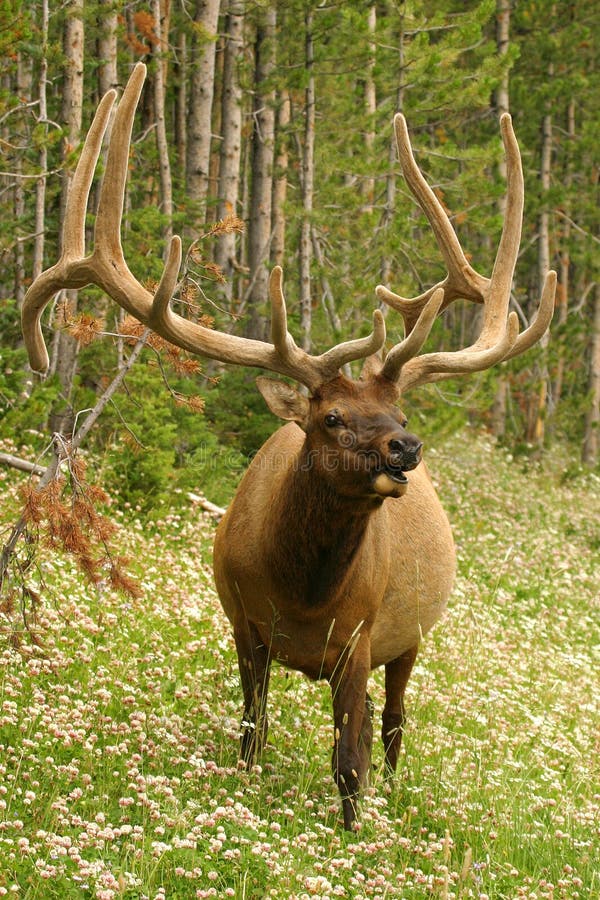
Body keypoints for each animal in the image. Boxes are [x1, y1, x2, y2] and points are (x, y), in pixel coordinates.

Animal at [21, 63, 556, 830]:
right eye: (331, 416)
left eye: (396, 409)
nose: (406, 448)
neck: (301, 594)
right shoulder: (243, 620)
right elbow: (253, 731)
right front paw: (251, 782)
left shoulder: (361, 637)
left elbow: (350, 762)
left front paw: (352, 831)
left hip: (412, 637)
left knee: (393, 723)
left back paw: (395, 787)